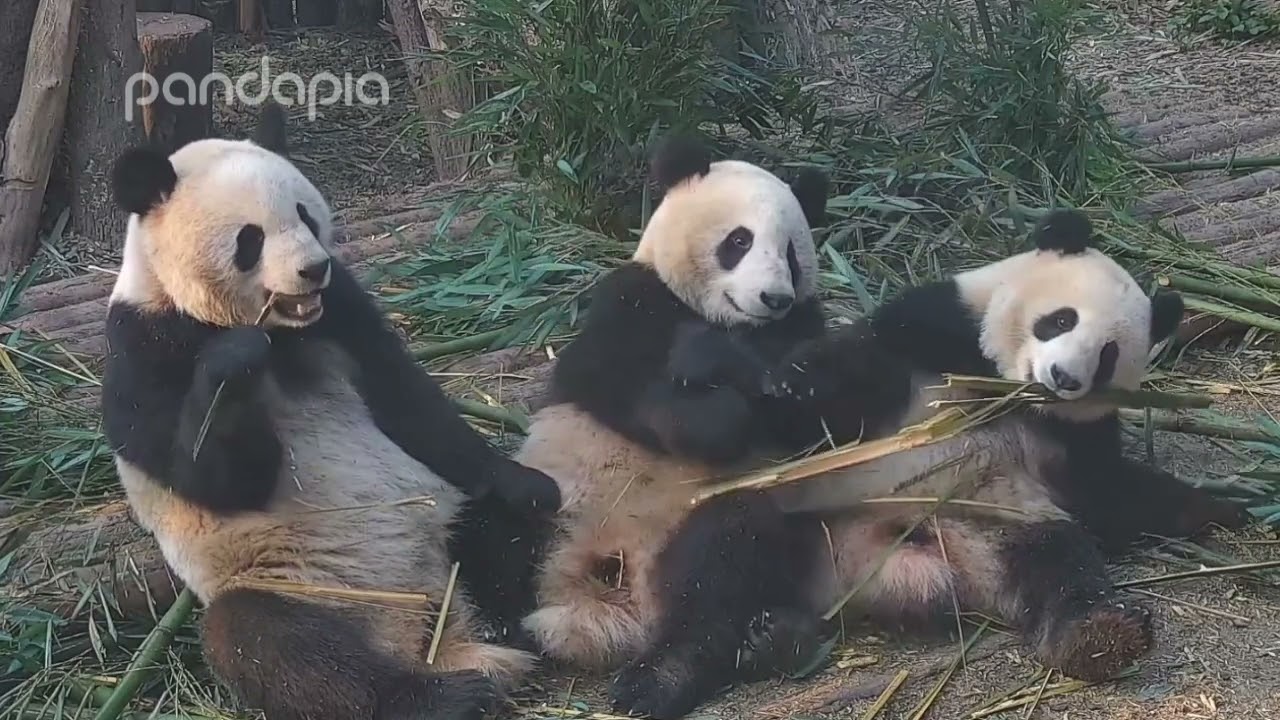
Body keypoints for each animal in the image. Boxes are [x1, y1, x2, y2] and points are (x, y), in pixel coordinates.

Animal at [98, 102, 560, 717]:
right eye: (250, 239)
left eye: (305, 215)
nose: (313, 269)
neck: (280, 331)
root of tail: (435, 640)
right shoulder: (143, 348)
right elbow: (210, 476)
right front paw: (234, 361)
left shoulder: (342, 309)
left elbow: (405, 400)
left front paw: (525, 483)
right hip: (306, 586)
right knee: (273, 645)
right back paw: (443, 696)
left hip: (442, 528)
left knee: (494, 528)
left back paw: (526, 618)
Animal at [514, 134, 834, 712]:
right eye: (739, 241)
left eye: (792, 255)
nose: (772, 298)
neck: (722, 319)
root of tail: (604, 618)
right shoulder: (630, 298)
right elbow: (609, 379)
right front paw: (708, 400)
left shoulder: (803, 327)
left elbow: (813, 417)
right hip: (549, 508)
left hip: (691, 532)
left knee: (723, 562)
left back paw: (681, 670)